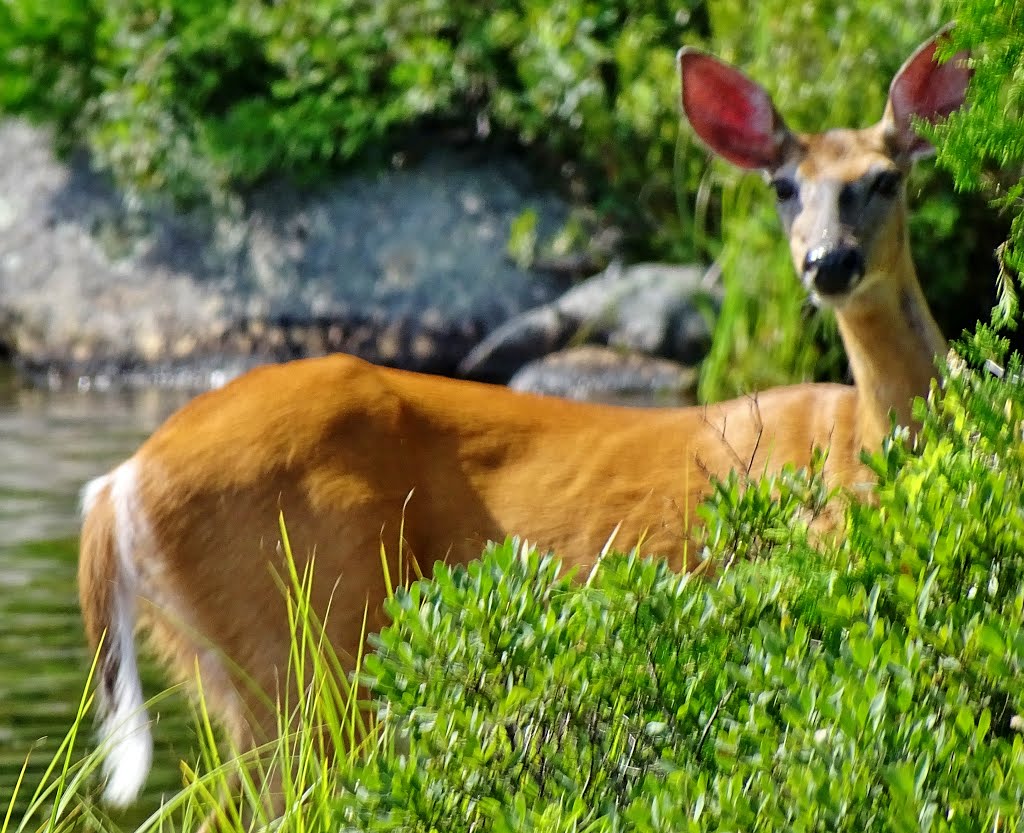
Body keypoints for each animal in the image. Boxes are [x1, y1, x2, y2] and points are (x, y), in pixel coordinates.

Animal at [79, 27, 966, 819]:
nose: (829, 262)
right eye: (785, 185)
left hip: (228, 658)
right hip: (306, 623)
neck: (859, 445)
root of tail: (117, 486)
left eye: (885, 179)